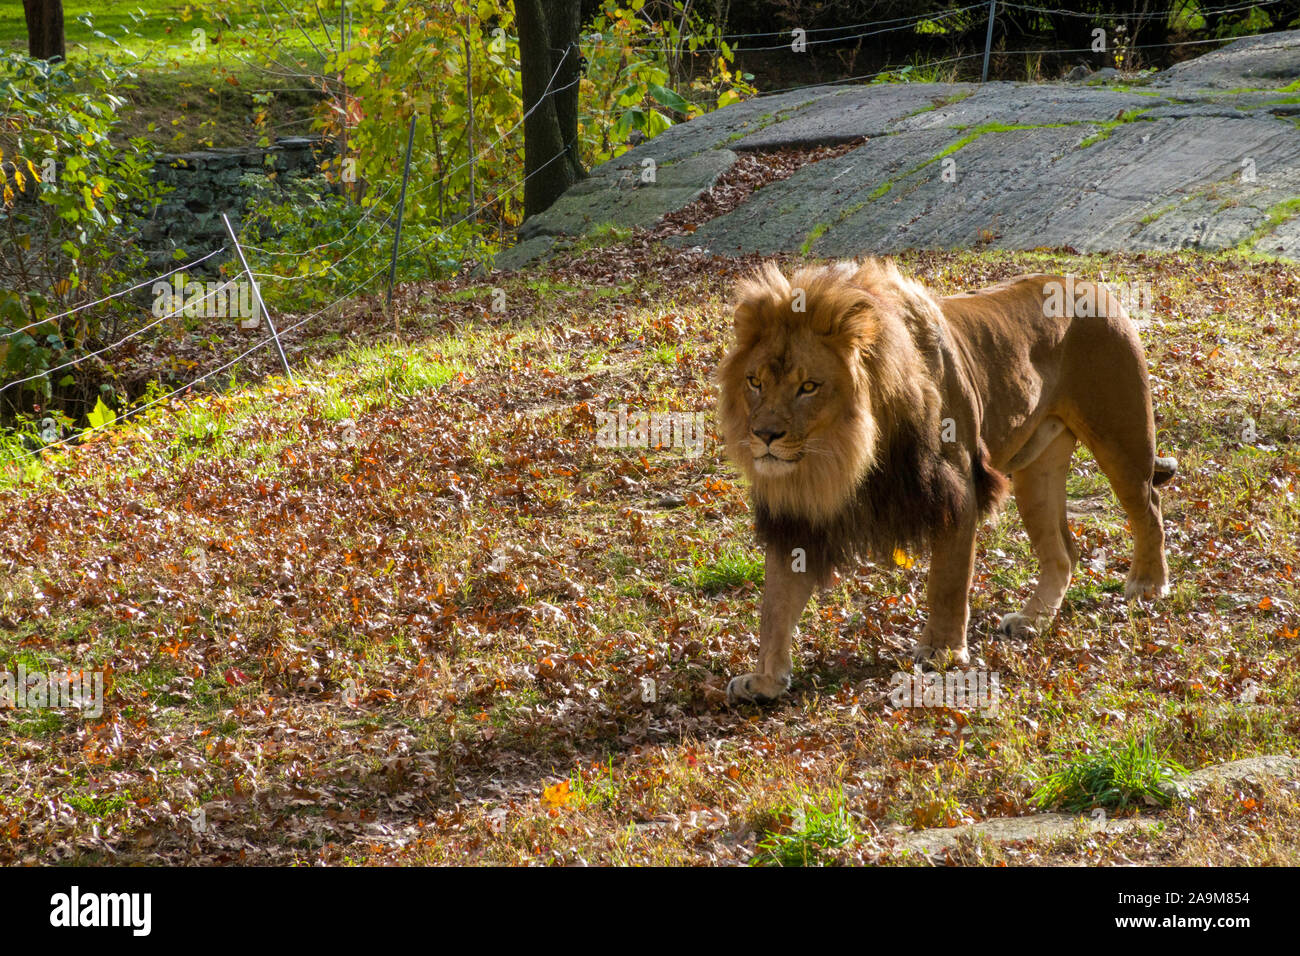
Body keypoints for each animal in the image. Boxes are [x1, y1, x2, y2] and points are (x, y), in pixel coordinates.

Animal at [717, 257, 1175, 707]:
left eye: (808, 387)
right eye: (754, 382)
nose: (764, 435)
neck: (842, 455)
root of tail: (1088, 283)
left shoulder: (957, 489)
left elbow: (948, 580)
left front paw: (941, 650)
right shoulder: (797, 515)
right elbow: (776, 604)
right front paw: (765, 679)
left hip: (1121, 439)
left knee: (1148, 508)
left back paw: (1147, 584)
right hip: (1037, 474)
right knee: (1064, 552)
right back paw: (1032, 619)